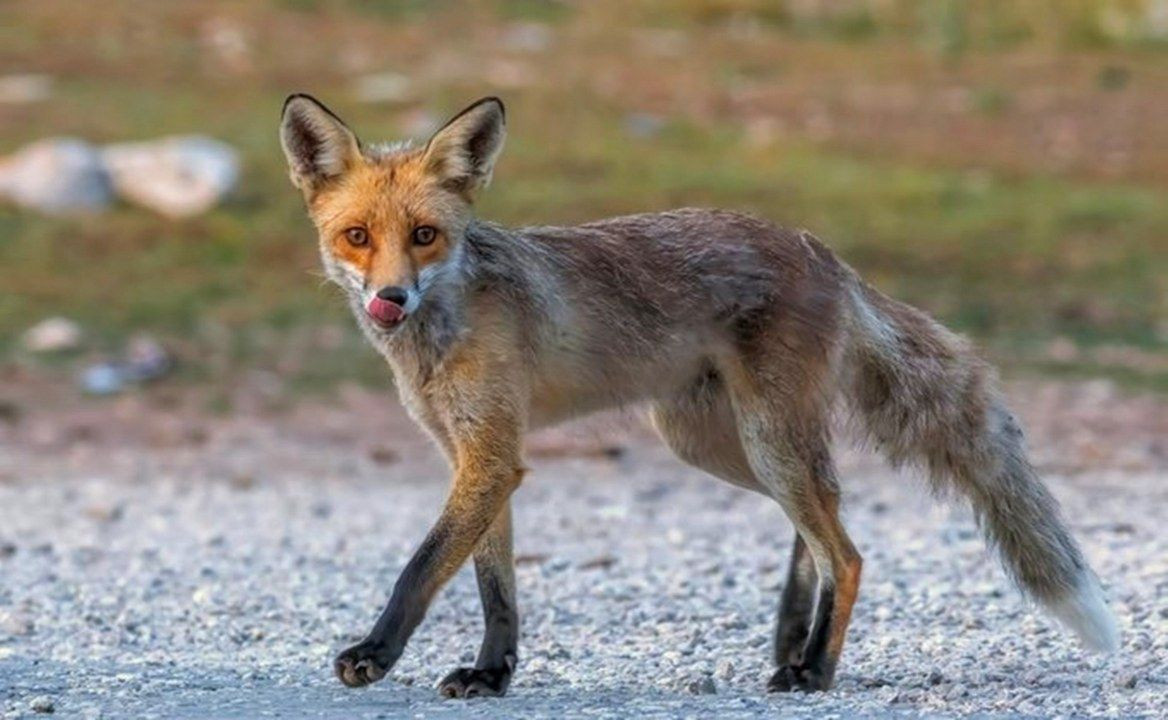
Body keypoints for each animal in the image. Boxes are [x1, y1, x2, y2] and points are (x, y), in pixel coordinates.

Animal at [277, 94, 1116, 696]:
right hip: (717, 442)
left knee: (846, 551)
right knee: (823, 518)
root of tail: (824, 252)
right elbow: (494, 585)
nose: (390, 299)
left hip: (764, 438)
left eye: (425, 236)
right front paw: (492, 673)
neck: (441, 333)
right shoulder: (477, 457)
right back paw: (792, 642)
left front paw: (376, 655)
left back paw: (815, 670)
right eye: (357, 236)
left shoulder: (490, 456)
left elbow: (421, 568)